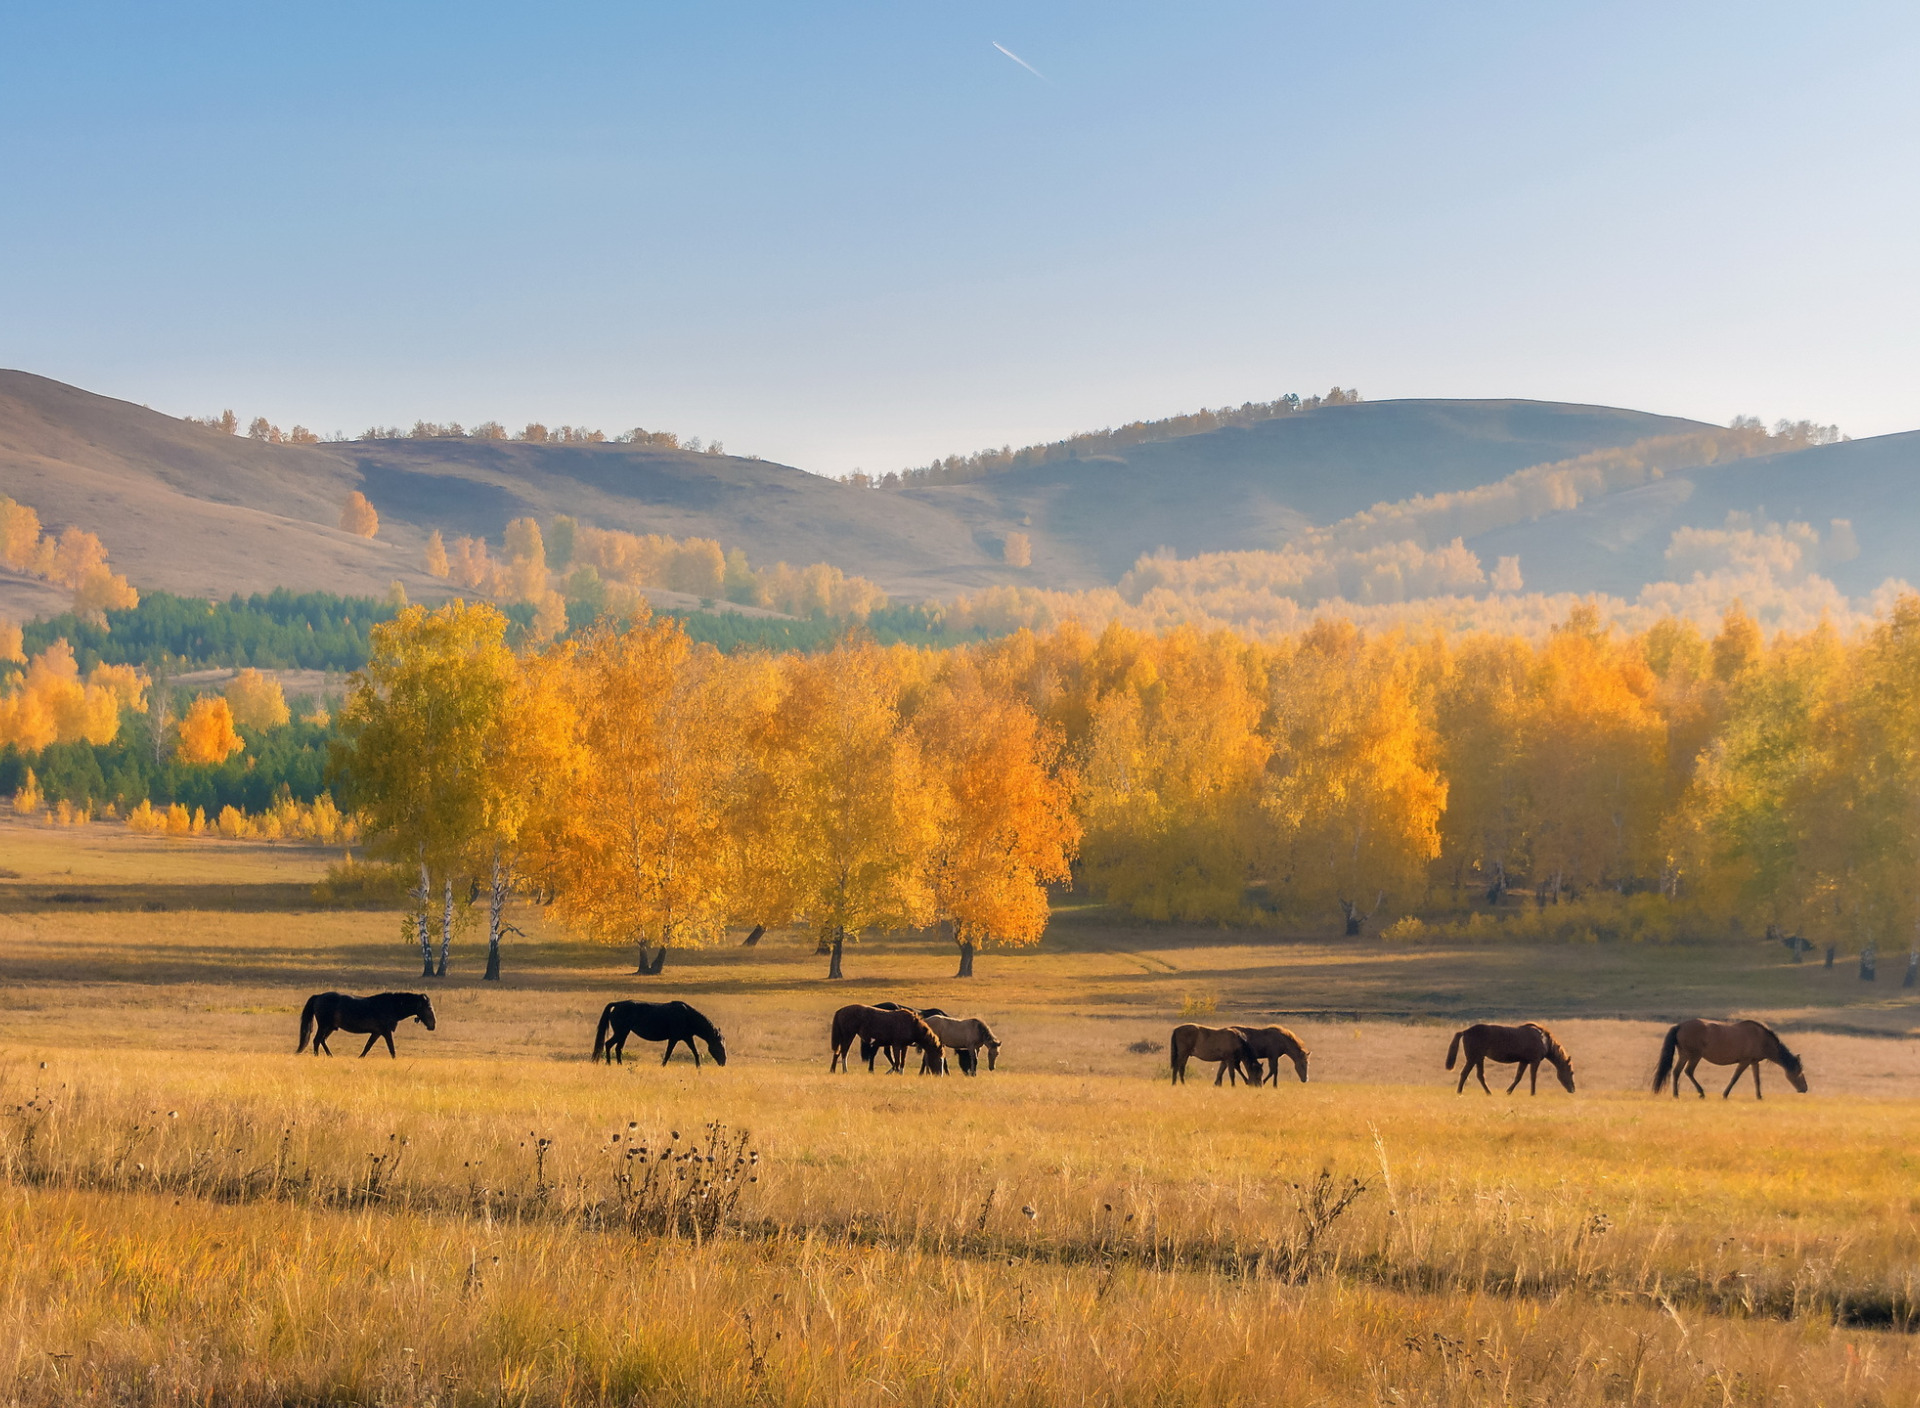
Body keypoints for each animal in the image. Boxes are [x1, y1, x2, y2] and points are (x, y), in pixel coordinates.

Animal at [295, 991, 435, 1052]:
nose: (433, 1025)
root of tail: (318, 996)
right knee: (317, 1040)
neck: (391, 1006)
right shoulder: (386, 1032)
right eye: (428, 1008)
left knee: (322, 1040)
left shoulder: (377, 1033)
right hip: (324, 1026)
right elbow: (392, 1049)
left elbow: (367, 1047)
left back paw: (330, 1056)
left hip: (330, 1027)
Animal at [591, 998, 725, 1068]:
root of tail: (617, 1004)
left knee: (617, 1048)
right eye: (719, 1046)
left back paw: (619, 1064)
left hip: (624, 1033)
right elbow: (668, 1053)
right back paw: (609, 1063)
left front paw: (699, 1068)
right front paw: (663, 1065)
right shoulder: (674, 1038)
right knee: (609, 1044)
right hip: (621, 1032)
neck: (688, 1016)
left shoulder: (687, 1037)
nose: (724, 1062)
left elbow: (695, 1052)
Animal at [1443, 1021, 1582, 1098]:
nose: (1573, 1089)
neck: (1544, 1040)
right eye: (1571, 1072)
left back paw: (1488, 1093)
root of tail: (1465, 1031)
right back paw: (1460, 1092)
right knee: (1465, 1073)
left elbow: (1518, 1077)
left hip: (1479, 1058)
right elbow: (1533, 1077)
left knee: (1479, 1076)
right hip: (1473, 1058)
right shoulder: (1534, 1061)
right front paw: (1533, 1093)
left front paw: (1508, 1091)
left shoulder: (1524, 1061)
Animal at [1658, 1021, 1804, 1098]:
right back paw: (1700, 1092)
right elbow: (1735, 1078)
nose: (1804, 1089)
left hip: (1684, 1055)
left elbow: (1757, 1079)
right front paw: (1725, 1094)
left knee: (1677, 1071)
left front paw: (1759, 1096)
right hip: (1694, 1056)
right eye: (1799, 1073)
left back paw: (1676, 1094)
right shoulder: (1745, 1061)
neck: (1762, 1039)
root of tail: (1680, 1025)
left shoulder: (1754, 1061)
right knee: (1688, 1071)